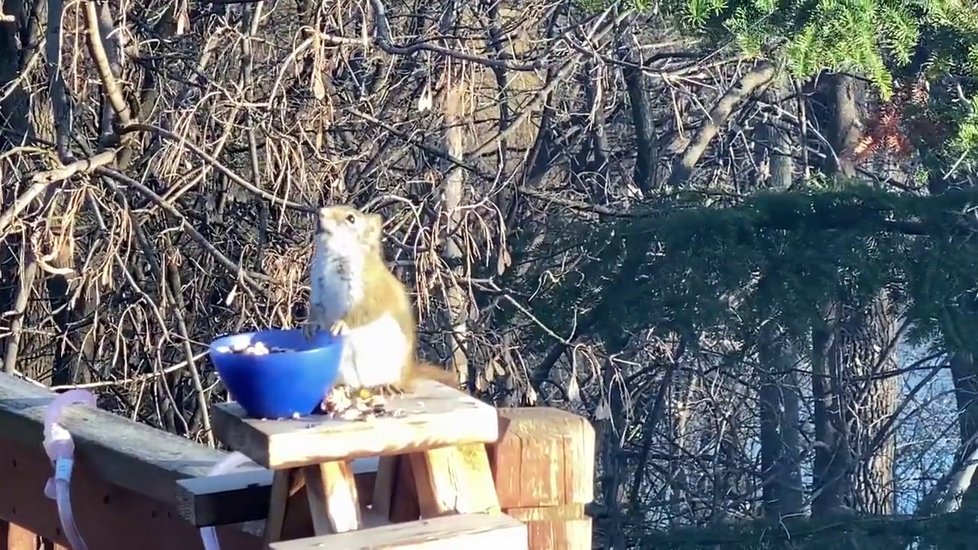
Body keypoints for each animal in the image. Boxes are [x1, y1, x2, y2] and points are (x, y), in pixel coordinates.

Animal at [304, 206, 456, 396]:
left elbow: (363, 310)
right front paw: (310, 325)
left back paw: (388, 385)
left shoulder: (370, 290)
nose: (320, 213)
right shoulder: (318, 288)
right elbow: (316, 308)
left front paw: (341, 324)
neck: (332, 259)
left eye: (351, 219)